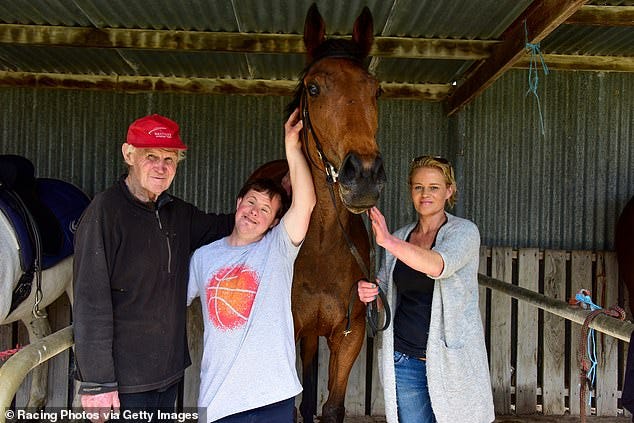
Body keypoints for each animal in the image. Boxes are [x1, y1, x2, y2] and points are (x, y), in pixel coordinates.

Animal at [249, 4, 382, 423]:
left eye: (376, 90)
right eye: (313, 88)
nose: (365, 176)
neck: (322, 243)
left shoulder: (350, 336)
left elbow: (331, 407)